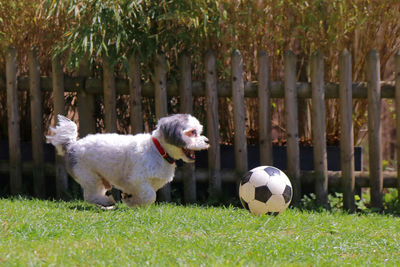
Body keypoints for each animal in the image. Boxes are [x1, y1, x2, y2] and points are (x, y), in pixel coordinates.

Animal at [46, 113, 209, 209]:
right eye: (192, 132)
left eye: (199, 131)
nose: (207, 141)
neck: (158, 150)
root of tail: (72, 146)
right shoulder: (138, 179)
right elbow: (150, 196)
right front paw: (132, 202)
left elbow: (142, 194)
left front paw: (130, 199)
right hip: (90, 176)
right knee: (91, 196)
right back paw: (106, 202)